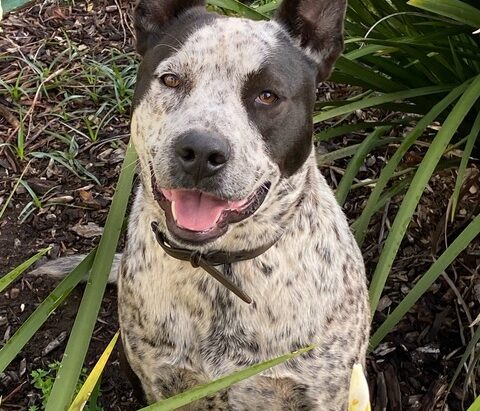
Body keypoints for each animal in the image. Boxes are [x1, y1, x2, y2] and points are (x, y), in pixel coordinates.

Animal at [37, 0, 370, 408]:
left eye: (267, 96)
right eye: (171, 80)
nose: (200, 151)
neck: (220, 267)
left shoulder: (326, 391)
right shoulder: (161, 384)